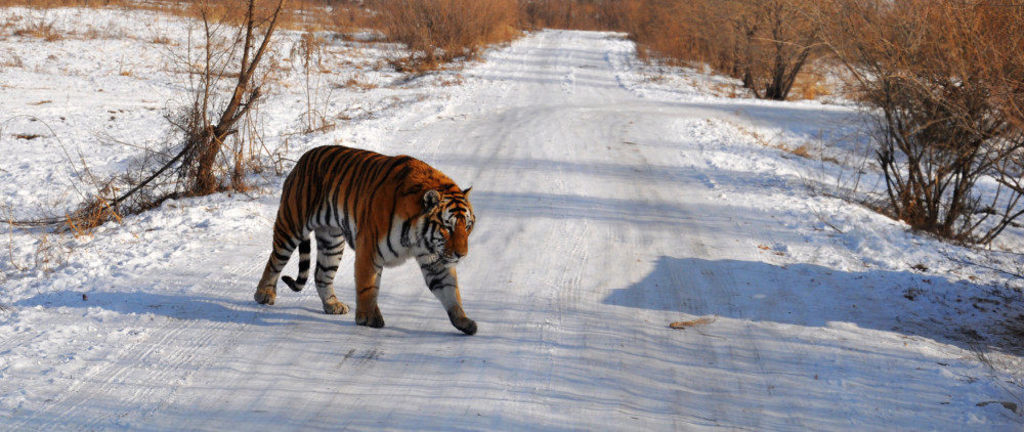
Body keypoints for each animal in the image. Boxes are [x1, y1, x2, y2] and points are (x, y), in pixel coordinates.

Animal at [256, 143, 479, 335]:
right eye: (447, 227)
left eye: (467, 226)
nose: (462, 254)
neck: (419, 237)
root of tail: (304, 158)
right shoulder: (369, 250)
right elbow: (368, 287)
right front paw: (368, 318)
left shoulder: (434, 259)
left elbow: (450, 290)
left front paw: (463, 321)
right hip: (292, 225)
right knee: (274, 261)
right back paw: (264, 294)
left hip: (331, 241)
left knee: (321, 274)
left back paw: (332, 305)